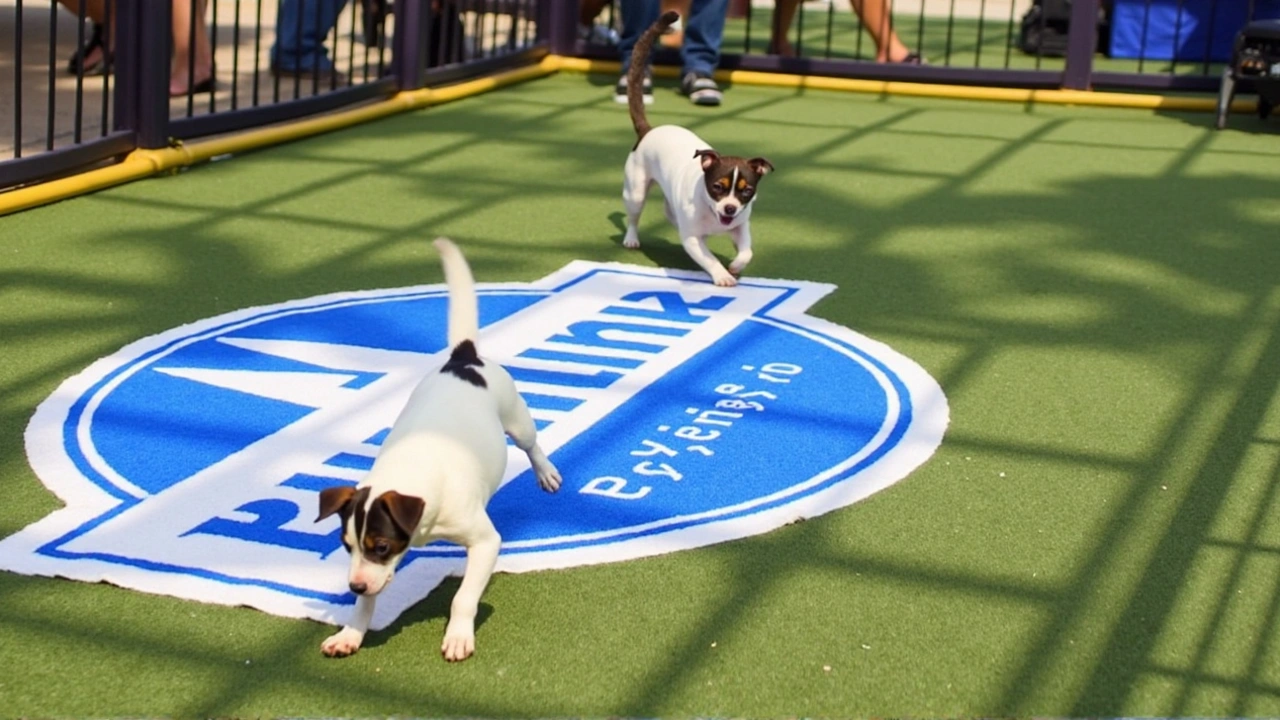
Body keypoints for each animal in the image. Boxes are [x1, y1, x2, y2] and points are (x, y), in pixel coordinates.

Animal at [314, 238, 560, 661]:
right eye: (346, 547)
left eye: (381, 545)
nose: (353, 586)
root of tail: (463, 357)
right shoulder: (375, 571)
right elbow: (368, 603)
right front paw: (350, 633)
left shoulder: (485, 544)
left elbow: (463, 598)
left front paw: (459, 635)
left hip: (517, 419)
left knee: (532, 445)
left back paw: (545, 472)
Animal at [616, 10, 768, 285]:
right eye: (717, 187)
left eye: (746, 191)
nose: (730, 207)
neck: (712, 210)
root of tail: (648, 130)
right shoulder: (693, 240)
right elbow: (709, 259)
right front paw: (722, 276)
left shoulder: (741, 226)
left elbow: (746, 251)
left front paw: (736, 266)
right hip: (635, 191)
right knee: (634, 216)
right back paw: (631, 239)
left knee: (669, 211)